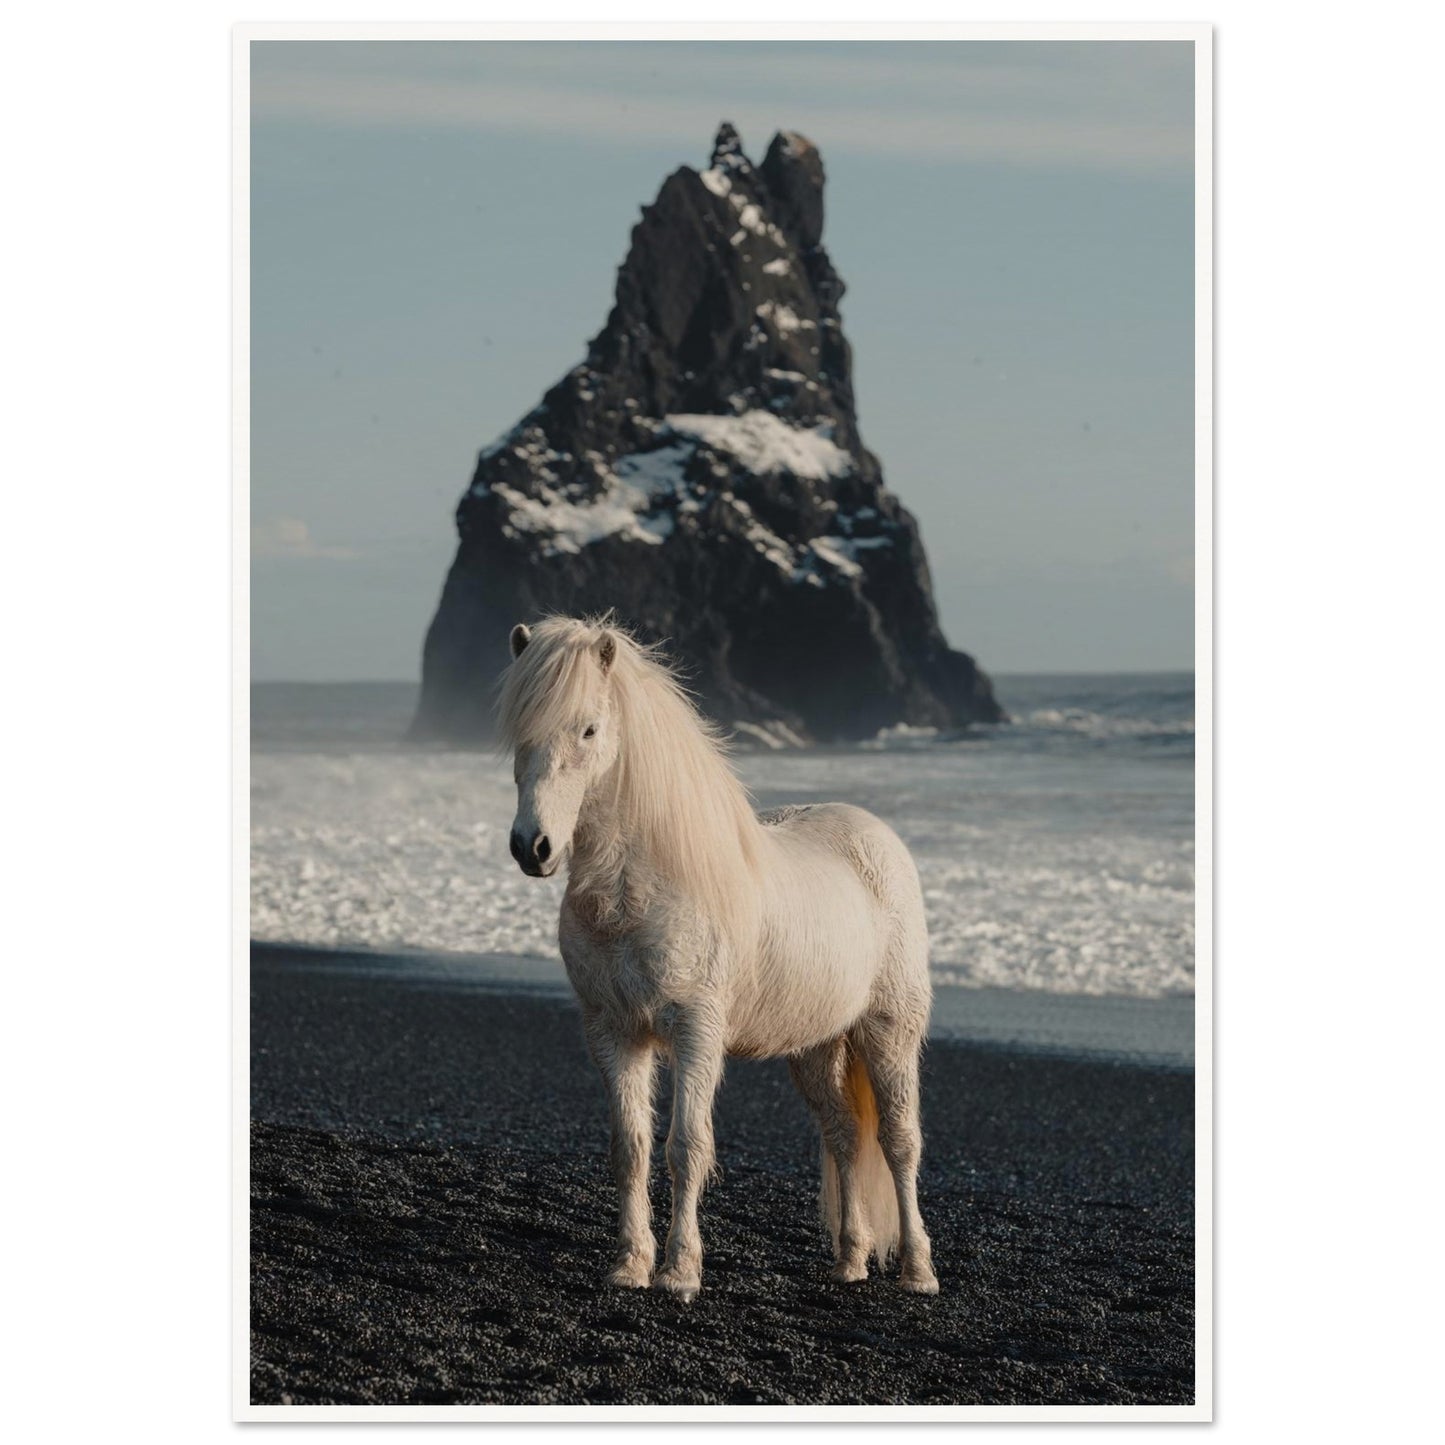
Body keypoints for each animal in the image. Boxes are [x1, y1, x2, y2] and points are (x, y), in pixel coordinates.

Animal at [498, 615, 939, 1301]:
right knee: (842, 1134)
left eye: (589, 729)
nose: (533, 847)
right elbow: (631, 1148)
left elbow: (686, 1146)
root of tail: (877, 836)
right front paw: (630, 1265)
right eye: (520, 730)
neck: (645, 889)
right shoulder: (613, 1033)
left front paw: (679, 1272)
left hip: (888, 1029)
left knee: (898, 1142)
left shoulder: (695, 1031)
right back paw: (850, 1259)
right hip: (815, 1046)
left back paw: (918, 1271)